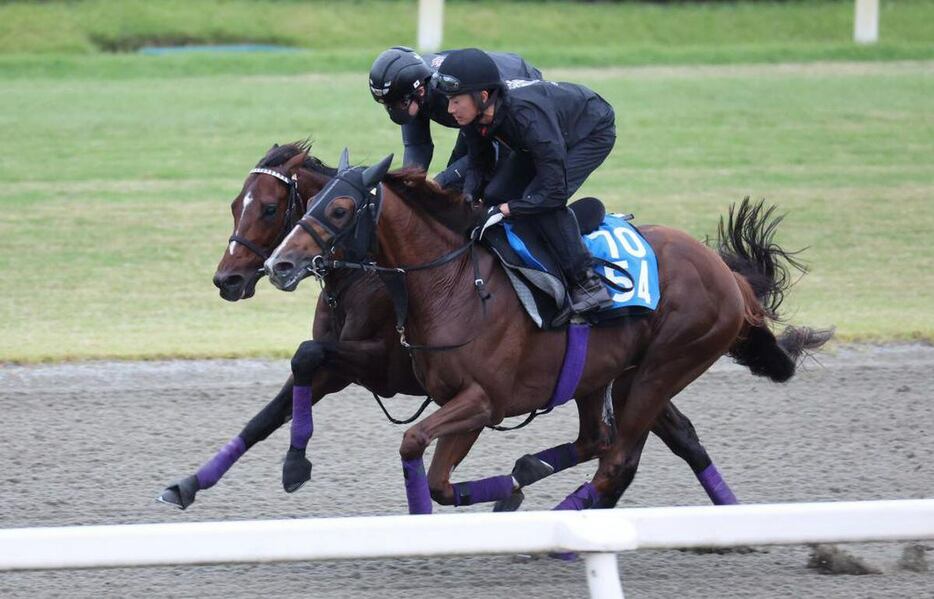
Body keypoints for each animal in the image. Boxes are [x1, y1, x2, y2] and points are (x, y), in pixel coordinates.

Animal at [266, 158, 832, 516]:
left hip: (662, 368)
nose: (279, 264)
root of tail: (725, 273)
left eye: (340, 209)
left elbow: (417, 449)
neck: (455, 285)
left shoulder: (483, 402)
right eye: (310, 203)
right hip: (602, 375)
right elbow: (438, 481)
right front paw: (508, 489)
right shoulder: (455, 400)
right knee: (600, 441)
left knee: (616, 459)